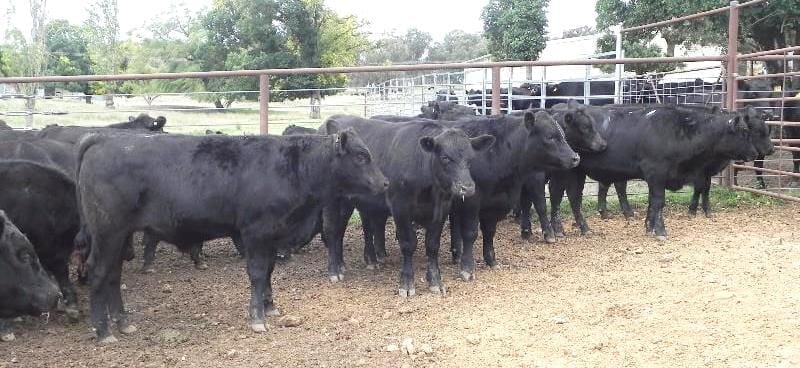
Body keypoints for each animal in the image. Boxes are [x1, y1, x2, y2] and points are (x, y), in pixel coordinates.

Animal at [76, 129, 386, 342]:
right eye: (361, 156)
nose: (385, 183)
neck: (293, 169)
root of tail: (103, 139)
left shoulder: (272, 235)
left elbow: (269, 271)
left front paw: (270, 306)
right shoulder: (256, 232)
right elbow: (258, 273)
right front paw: (257, 317)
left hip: (120, 236)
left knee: (113, 274)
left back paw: (123, 322)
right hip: (108, 232)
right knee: (99, 272)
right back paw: (103, 331)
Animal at [318, 115, 494, 296]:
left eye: (471, 159)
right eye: (445, 157)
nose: (468, 187)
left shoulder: (442, 208)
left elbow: (432, 245)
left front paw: (435, 281)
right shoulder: (400, 207)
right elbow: (408, 244)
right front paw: (407, 284)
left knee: (346, 229)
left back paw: (360, 262)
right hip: (333, 199)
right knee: (332, 230)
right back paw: (335, 270)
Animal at [444, 110, 580, 278]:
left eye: (563, 135)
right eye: (550, 137)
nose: (575, 157)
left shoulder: (494, 203)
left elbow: (489, 232)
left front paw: (491, 260)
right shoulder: (470, 201)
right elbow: (470, 233)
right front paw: (467, 268)